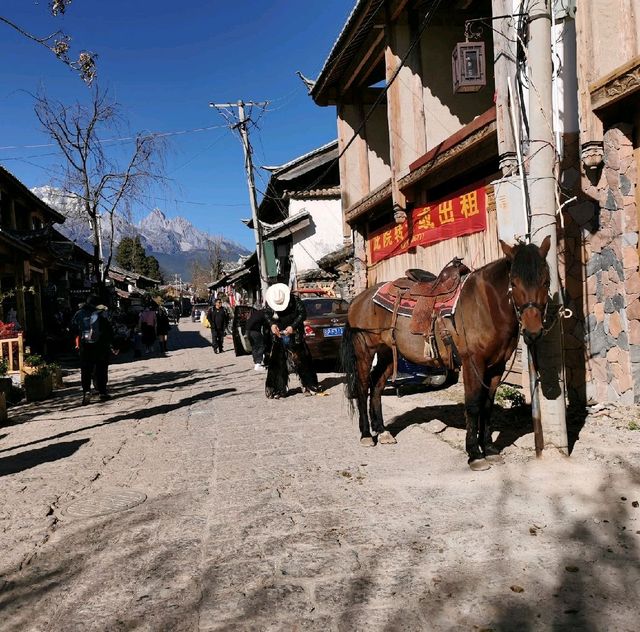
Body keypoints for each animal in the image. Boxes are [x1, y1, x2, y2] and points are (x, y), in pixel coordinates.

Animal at [340, 237, 552, 470]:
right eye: (513, 282)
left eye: (546, 281)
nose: (533, 331)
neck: (486, 306)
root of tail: (359, 299)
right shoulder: (472, 363)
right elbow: (473, 405)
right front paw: (474, 454)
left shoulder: (497, 366)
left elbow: (487, 405)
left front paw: (489, 449)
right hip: (364, 351)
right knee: (362, 388)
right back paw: (366, 435)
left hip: (387, 353)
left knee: (376, 386)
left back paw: (383, 431)